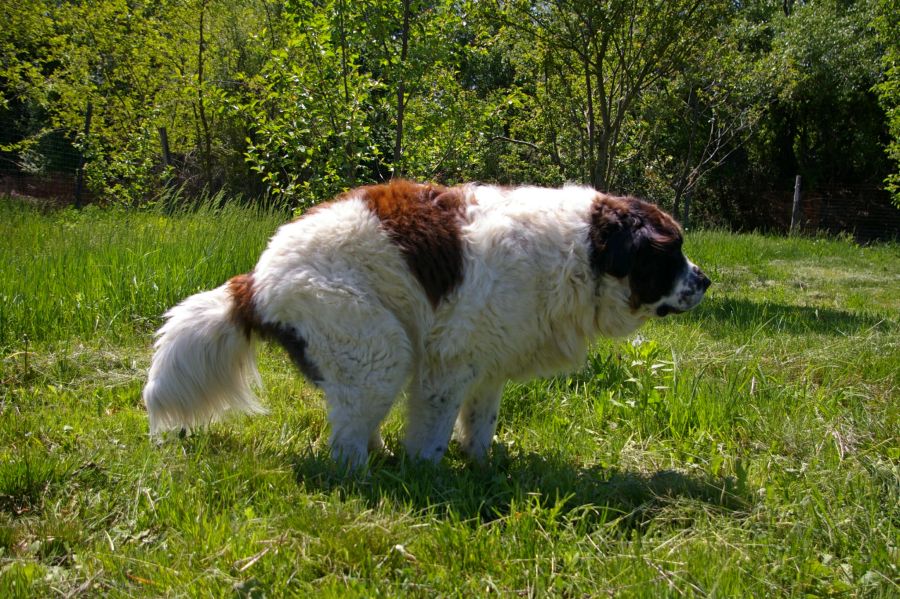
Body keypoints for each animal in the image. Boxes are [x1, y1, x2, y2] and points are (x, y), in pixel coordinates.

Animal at [144, 180, 712, 466]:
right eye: (671, 254)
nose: (704, 281)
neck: (583, 251)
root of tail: (255, 281)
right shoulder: (448, 364)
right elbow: (432, 434)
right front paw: (429, 475)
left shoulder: (489, 364)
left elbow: (481, 423)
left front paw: (481, 468)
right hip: (377, 346)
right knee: (346, 441)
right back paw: (365, 478)